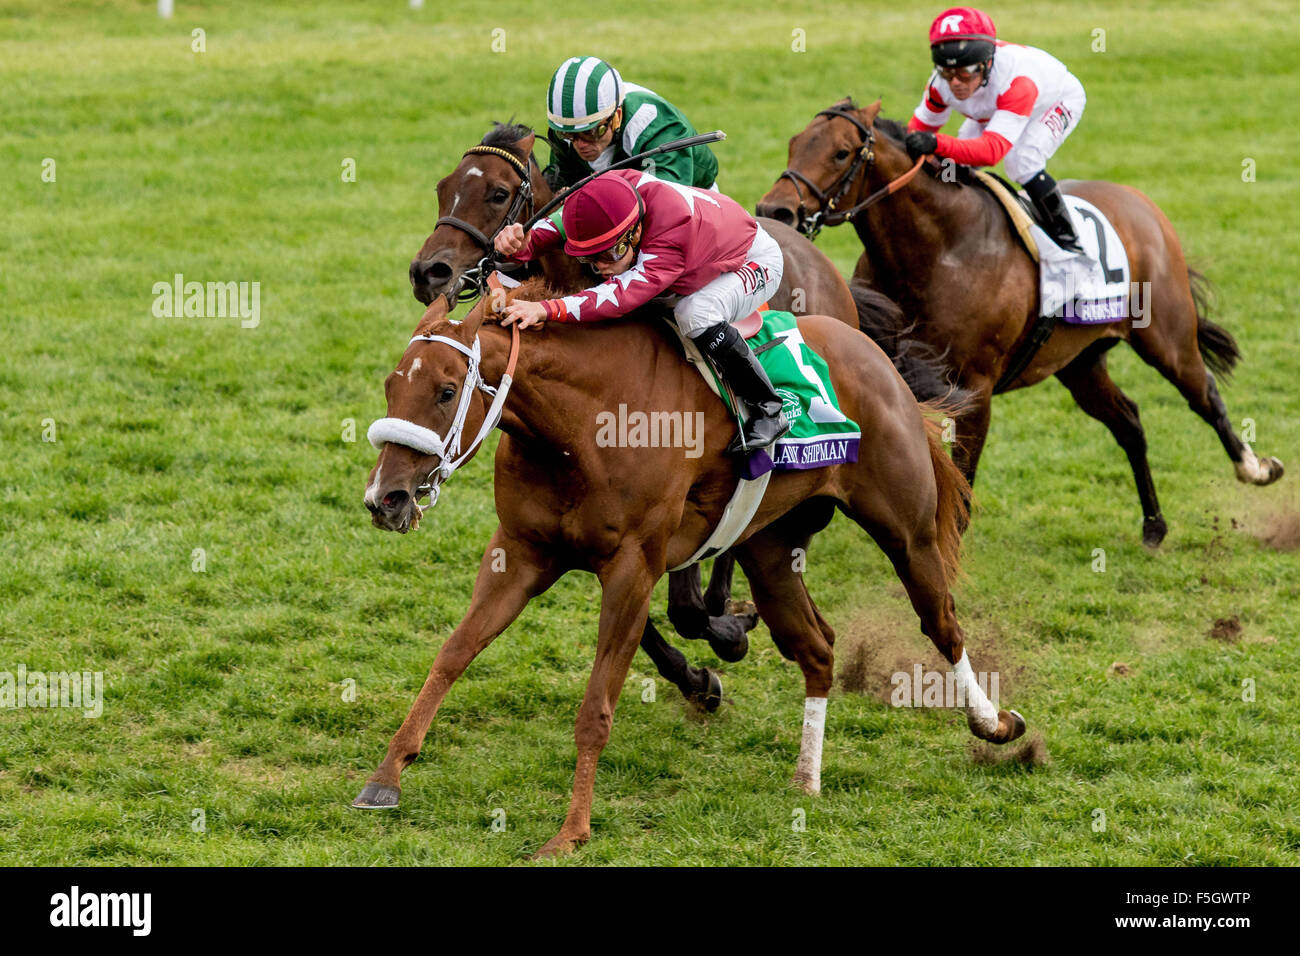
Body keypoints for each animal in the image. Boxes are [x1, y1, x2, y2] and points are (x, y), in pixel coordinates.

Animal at [358, 280, 1024, 858]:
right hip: (769, 549)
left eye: (446, 391)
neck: (584, 424)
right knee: (817, 648)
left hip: (907, 532)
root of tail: (873, 354)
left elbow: (596, 709)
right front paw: (387, 775)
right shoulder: (521, 553)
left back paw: (994, 725)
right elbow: (452, 655)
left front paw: (571, 832)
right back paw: (806, 778)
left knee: (941, 623)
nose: (385, 499)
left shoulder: (633, 570)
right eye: (391, 385)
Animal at [759, 98, 1284, 546]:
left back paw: (1255, 469)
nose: (775, 209)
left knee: (1205, 394)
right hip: (1080, 363)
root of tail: (1142, 204)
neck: (940, 247)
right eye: (793, 142)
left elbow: (963, 482)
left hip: (1166, 338)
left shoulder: (975, 388)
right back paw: (1153, 524)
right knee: (1130, 422)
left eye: (841, 152)